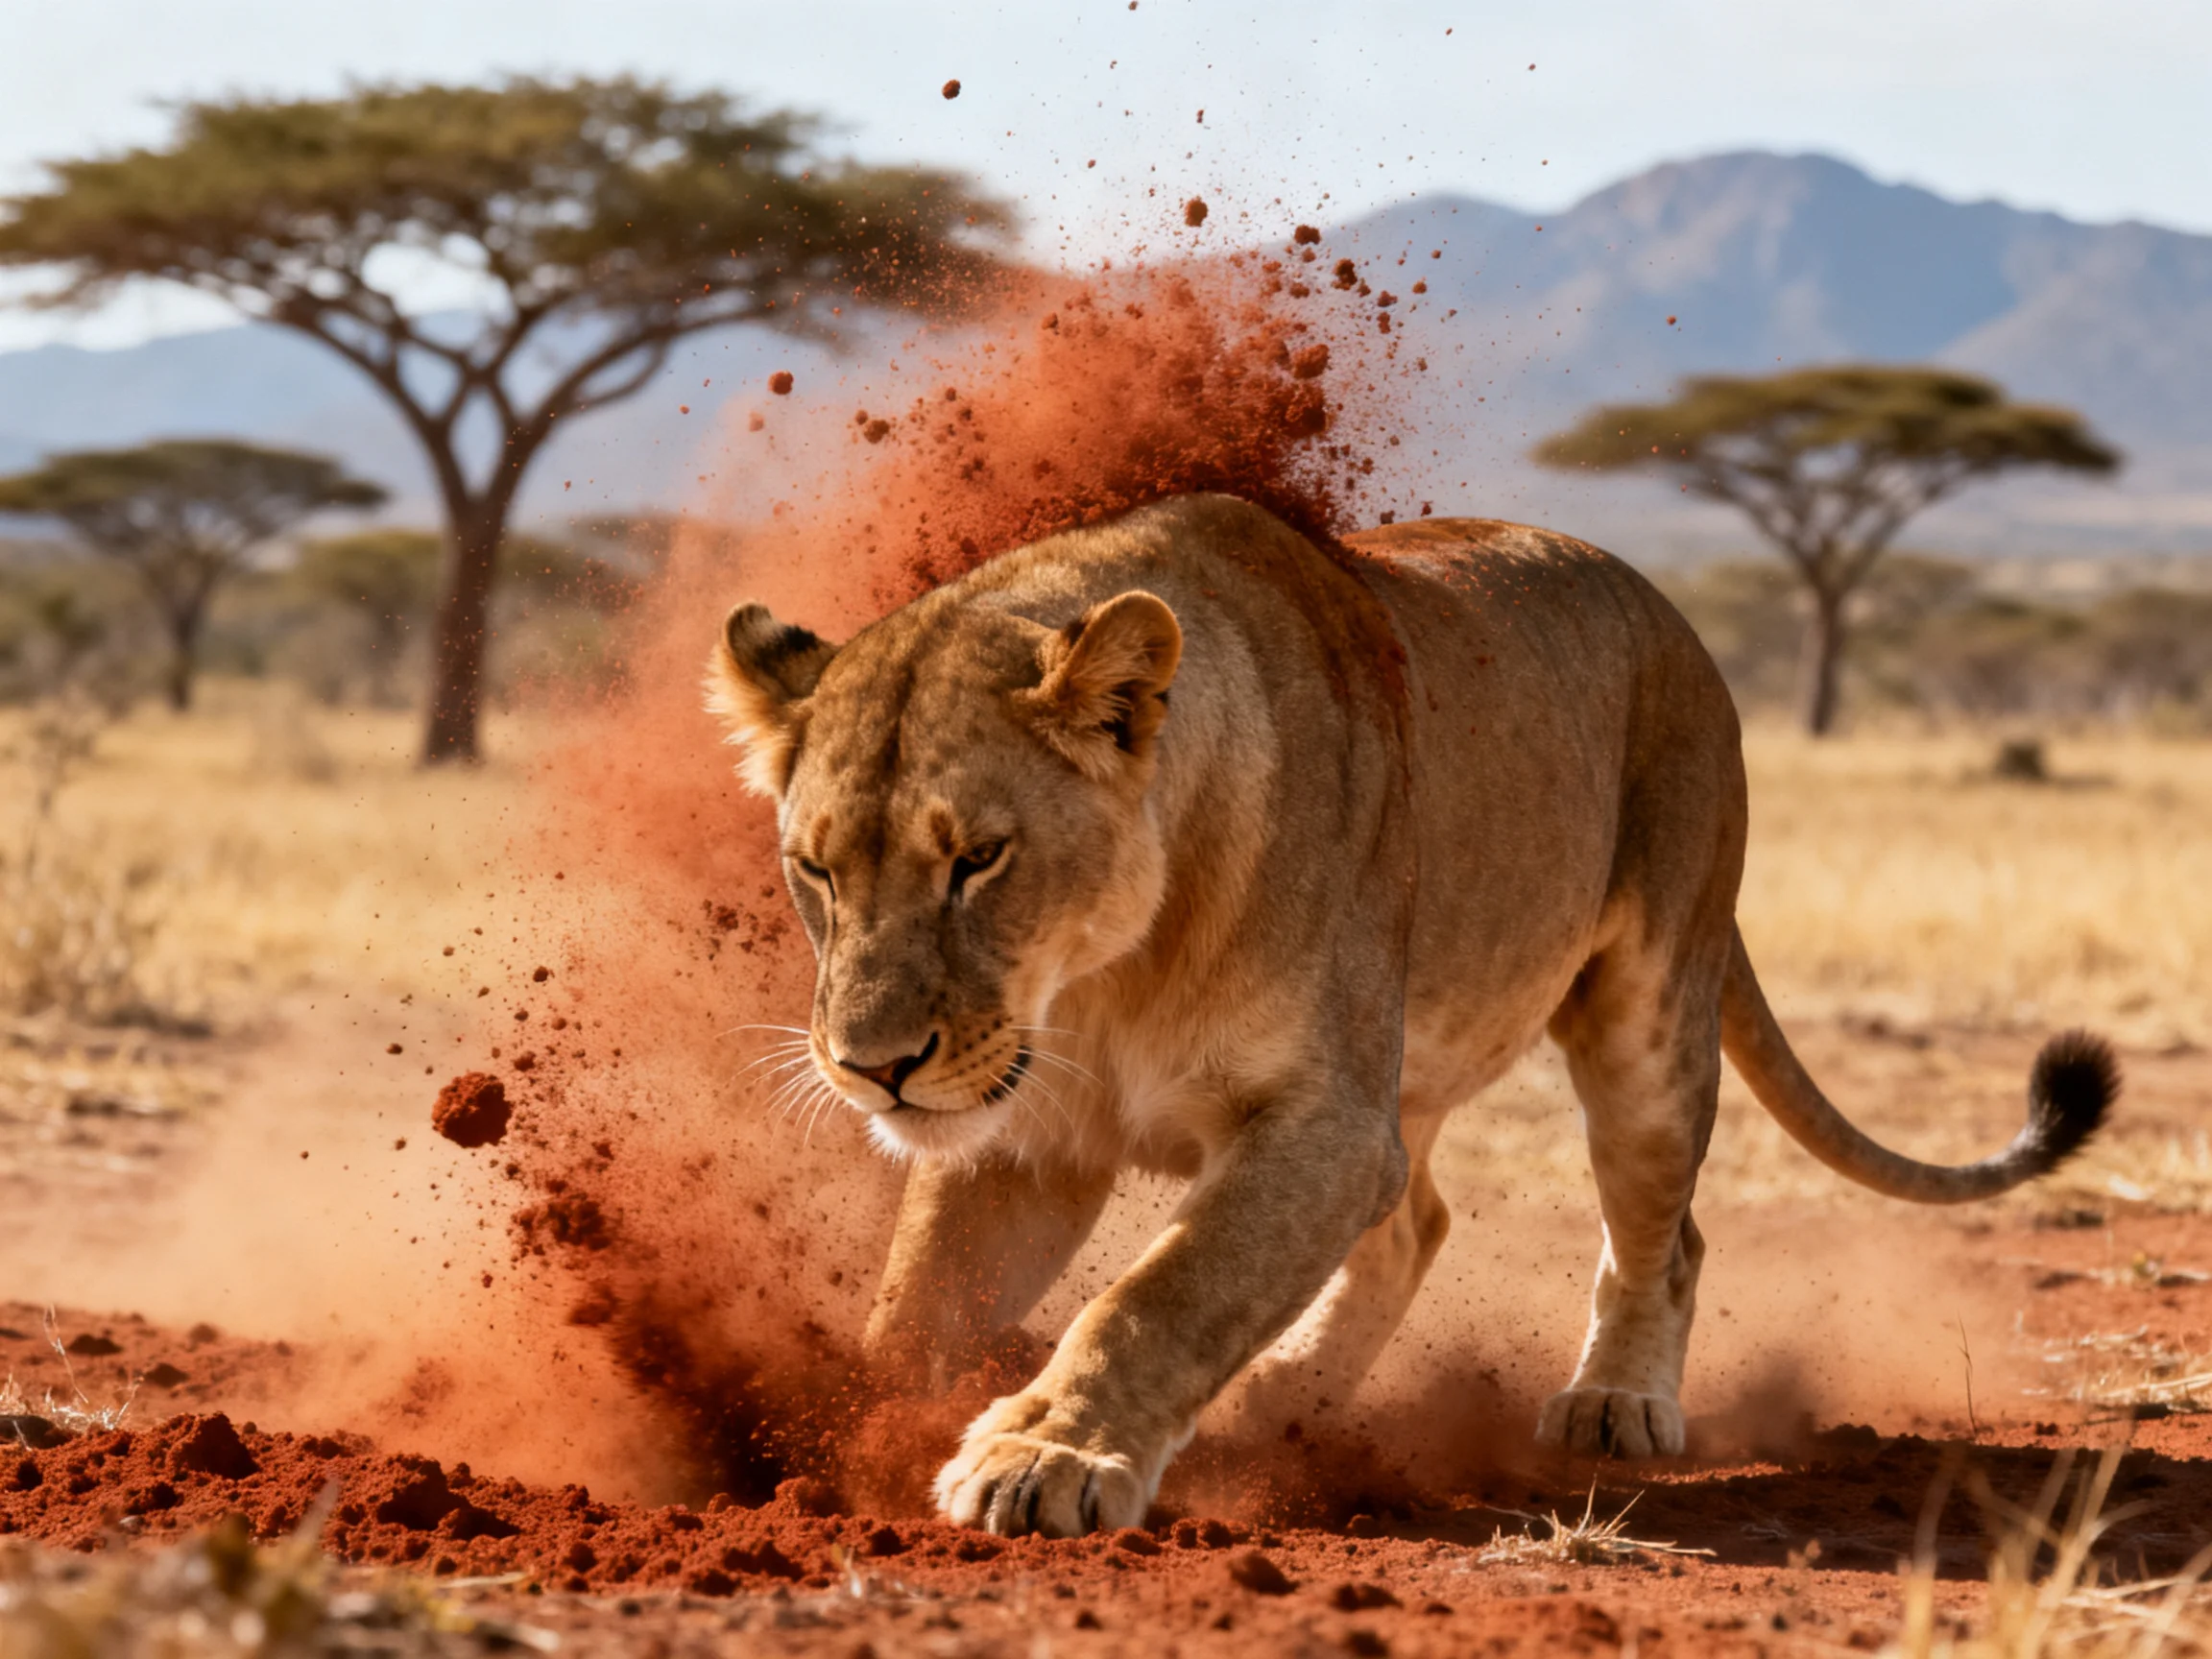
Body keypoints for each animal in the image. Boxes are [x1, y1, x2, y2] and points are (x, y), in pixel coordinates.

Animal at [706, 493, 2115, 1538]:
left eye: (979, 859)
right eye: (816, 870)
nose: (872, 1069)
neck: (1100, 977)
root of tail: (1663, 606)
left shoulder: (1322, 1125)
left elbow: (1163, 1292)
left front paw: (1041, 1455)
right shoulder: (1030, 1137)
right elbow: (918, 1304)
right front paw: (835, 1439)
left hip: (1650, 1018)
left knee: (1665, 1235)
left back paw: (1614, 1404)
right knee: (1418, 1218)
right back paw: (1283, 1402)